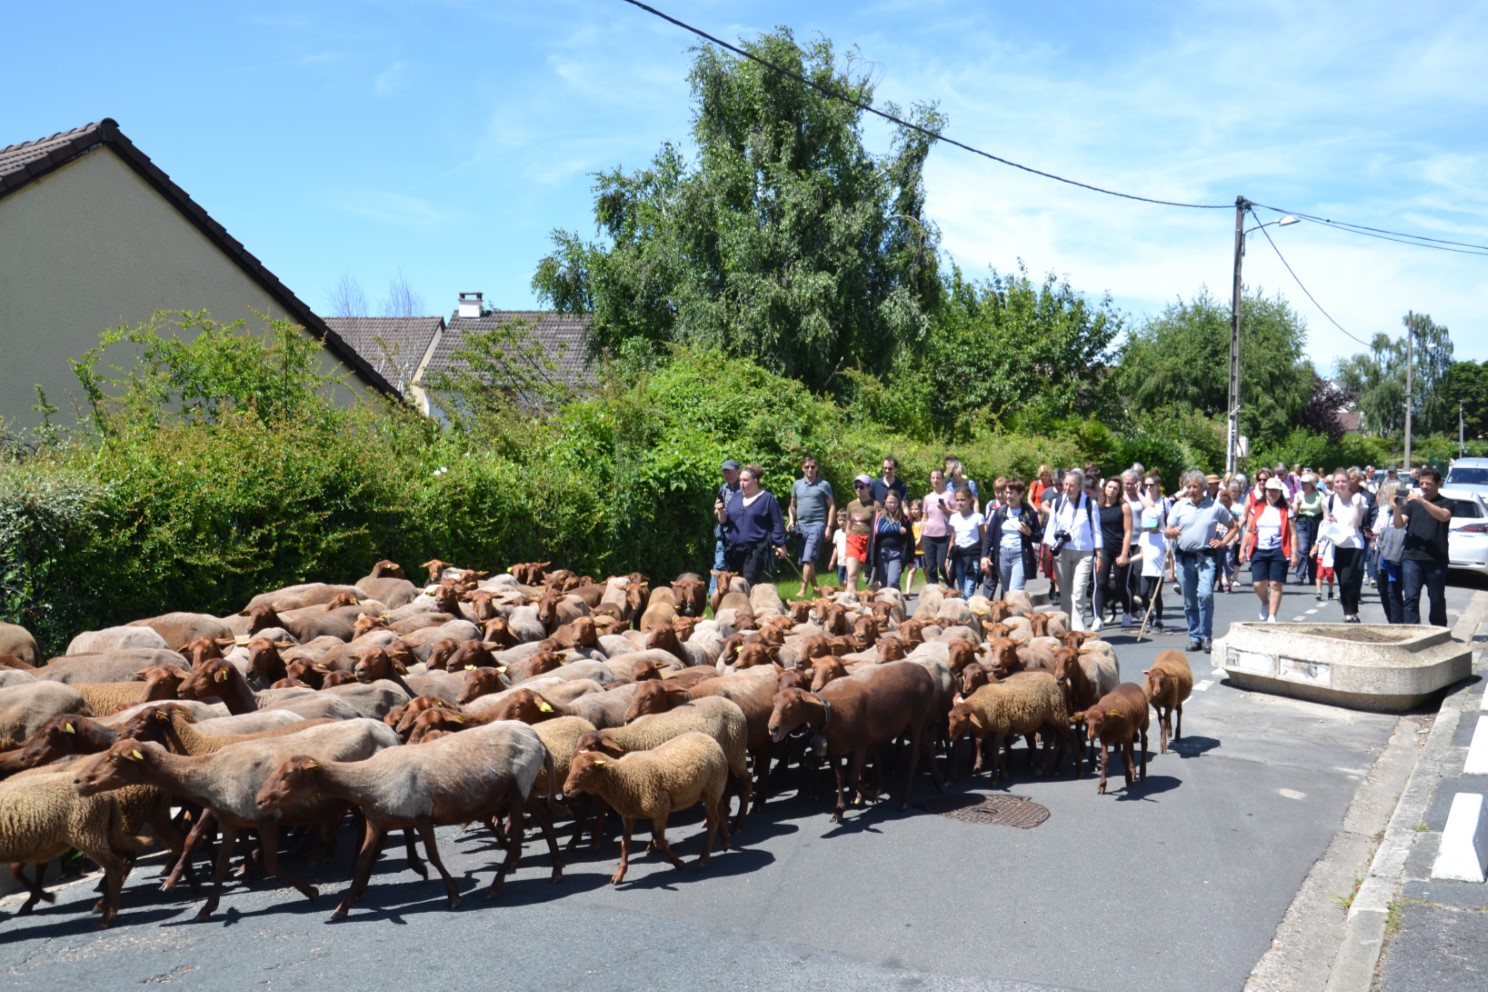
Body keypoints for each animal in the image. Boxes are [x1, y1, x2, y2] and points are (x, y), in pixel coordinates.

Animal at [252, 716, 559, 922]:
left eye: (289, 774)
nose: (260, 800)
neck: (366, 782)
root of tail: (535, 736)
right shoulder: (377, 823)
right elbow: (362, 863)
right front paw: (341, 908)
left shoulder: (421, 817)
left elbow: (433, 856)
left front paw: (454, 895)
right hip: (524, 789)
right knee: (544, 821)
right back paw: (557, 871)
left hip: (518, 788)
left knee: (519, 837)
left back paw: (496, 885)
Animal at [559, 728, 729, 886]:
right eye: (571, 767)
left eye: (586, 770)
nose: (566, 790)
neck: (625, 777)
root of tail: (707, 737)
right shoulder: (629, 814)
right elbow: (625, 843)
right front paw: (619, 874)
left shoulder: (660, 810)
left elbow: (660, 841)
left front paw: (679, 863)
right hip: (711, 790)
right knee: (720, 807)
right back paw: (726, 843)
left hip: (711, 788)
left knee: (713, 820)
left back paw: (703, 859)